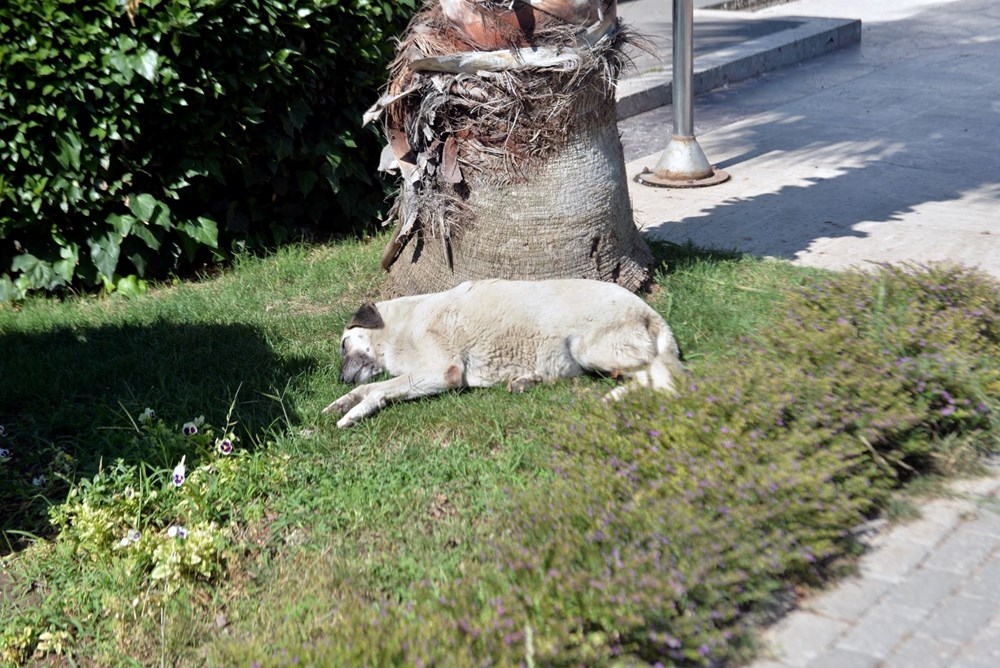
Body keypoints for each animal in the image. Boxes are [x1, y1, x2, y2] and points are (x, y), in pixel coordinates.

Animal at [324, 276, 684, 428]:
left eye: (343, 345)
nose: (339, 379)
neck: (400, 326)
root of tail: (650, 313)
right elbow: (370, 386)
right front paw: (342, 402)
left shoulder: (440, 372)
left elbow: (377, 390)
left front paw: (354, 412)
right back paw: (527, 381)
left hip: (589, 348)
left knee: (661, 373)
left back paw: (614, 397)